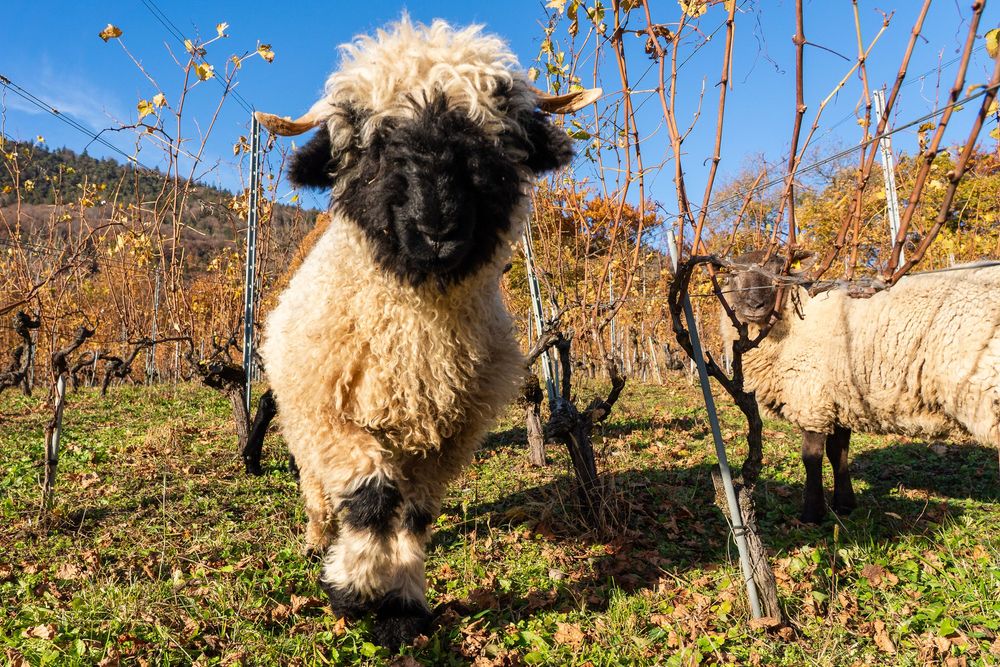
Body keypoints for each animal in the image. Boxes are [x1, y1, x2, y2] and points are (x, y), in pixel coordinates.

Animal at [255, 18, 598, 649]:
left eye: (494, 145)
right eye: (371, 147)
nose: (439, 229)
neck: (414, 347)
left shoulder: (449, 435)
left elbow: (412, 515)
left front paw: (402, 605)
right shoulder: (333, 416)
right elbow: (371, 499)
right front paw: (355, 590)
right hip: (300, 417)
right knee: (318, 488)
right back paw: (318, 538)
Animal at [720, 250, 1000, 523]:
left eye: (781, 272)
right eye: (732, 274)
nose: (754, 305)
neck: (793, 322)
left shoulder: (812, 399)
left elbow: (811, 457)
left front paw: (812, 514)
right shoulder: (840, 399)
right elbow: (838, 454)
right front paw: (845, 504)